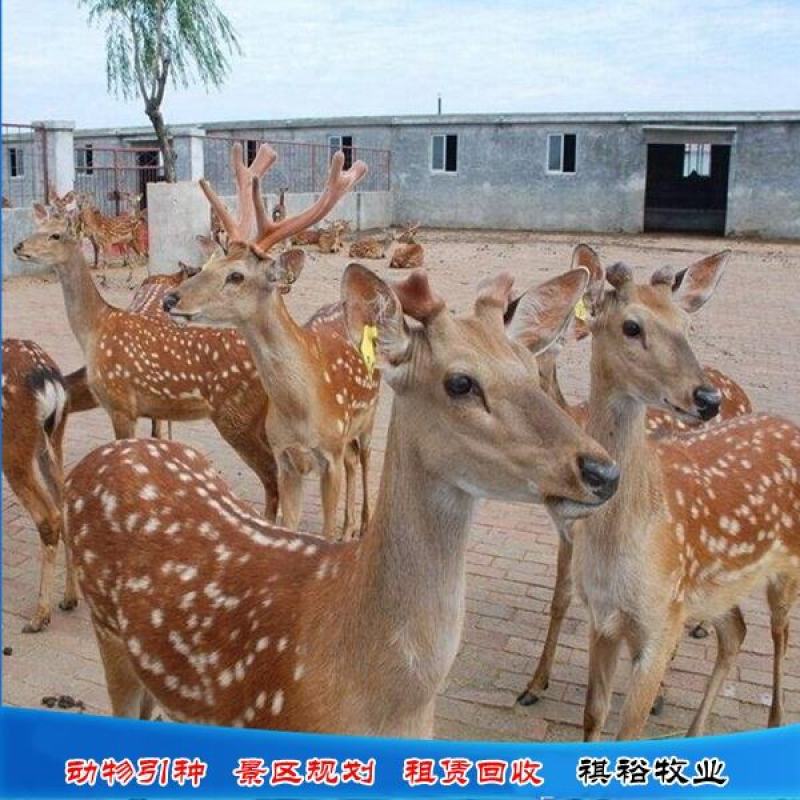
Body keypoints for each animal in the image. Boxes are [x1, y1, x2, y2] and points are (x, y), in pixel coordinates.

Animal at [2, 339, 77, 632]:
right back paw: (69, 598)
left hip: (14, 444)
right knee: (64, 505)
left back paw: (39, 616)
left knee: (48, 516)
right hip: (53, 439)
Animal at [12, 171, 281, 520]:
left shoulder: (120, 403)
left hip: (238, 416)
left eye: (55, 235)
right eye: (37, 227)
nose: (18, 246)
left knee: (273, 472)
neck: (95, 328)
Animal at [165, 152, 378, 540]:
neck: (301, 410)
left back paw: (364, 524)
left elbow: (323, 533)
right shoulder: (285, 455)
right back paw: (349, 526)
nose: (170, 299)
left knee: (366, 460)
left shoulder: (329, 453)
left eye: (236, 275)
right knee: (354, 461)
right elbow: (289, 525)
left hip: (370, 416)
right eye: (208, 264)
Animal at [551, 251, 799, 740]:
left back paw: (775, 720)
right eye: (631, 326)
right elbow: (593, 716)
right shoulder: (604, 618)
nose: (707, 398)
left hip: (787, 568)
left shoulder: (661, 619)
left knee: (780, 636)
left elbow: (630, 730)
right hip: (711, 590)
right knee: (736, 631)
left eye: (686, 325)